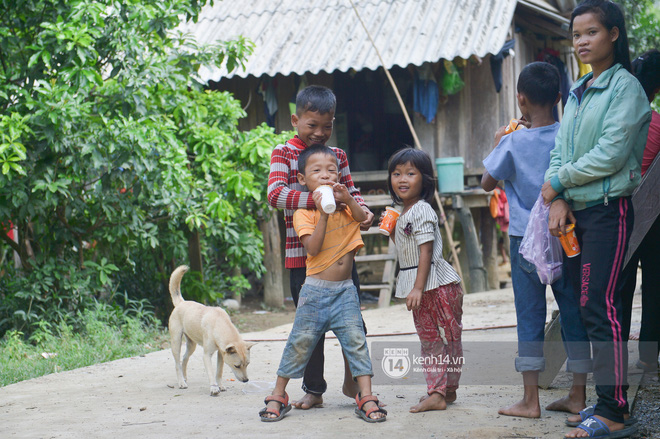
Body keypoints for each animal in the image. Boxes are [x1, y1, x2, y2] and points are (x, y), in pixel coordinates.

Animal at [168, 266, 255, 398]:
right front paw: (214, 388)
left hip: (191, 345)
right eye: (237, 366)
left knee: (184, 358)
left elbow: (219, 372)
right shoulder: (207, 355)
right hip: (176, 342)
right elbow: (210, 372)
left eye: (248, 364)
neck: (218, 323)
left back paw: (184, 377)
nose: (246, 380)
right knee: (177, 363)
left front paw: (220, 385)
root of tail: (181, 302)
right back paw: (181, 382)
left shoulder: (221, 354)